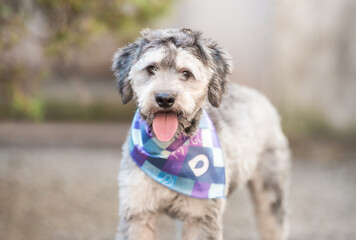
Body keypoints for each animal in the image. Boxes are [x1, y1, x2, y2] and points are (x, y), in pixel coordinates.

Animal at [112, 28, 290, 240]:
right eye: (151, 68)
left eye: (186, 73)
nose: (164, 98)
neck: (170, 152)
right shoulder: (137, 211)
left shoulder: (202, 217)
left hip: (271, 187)